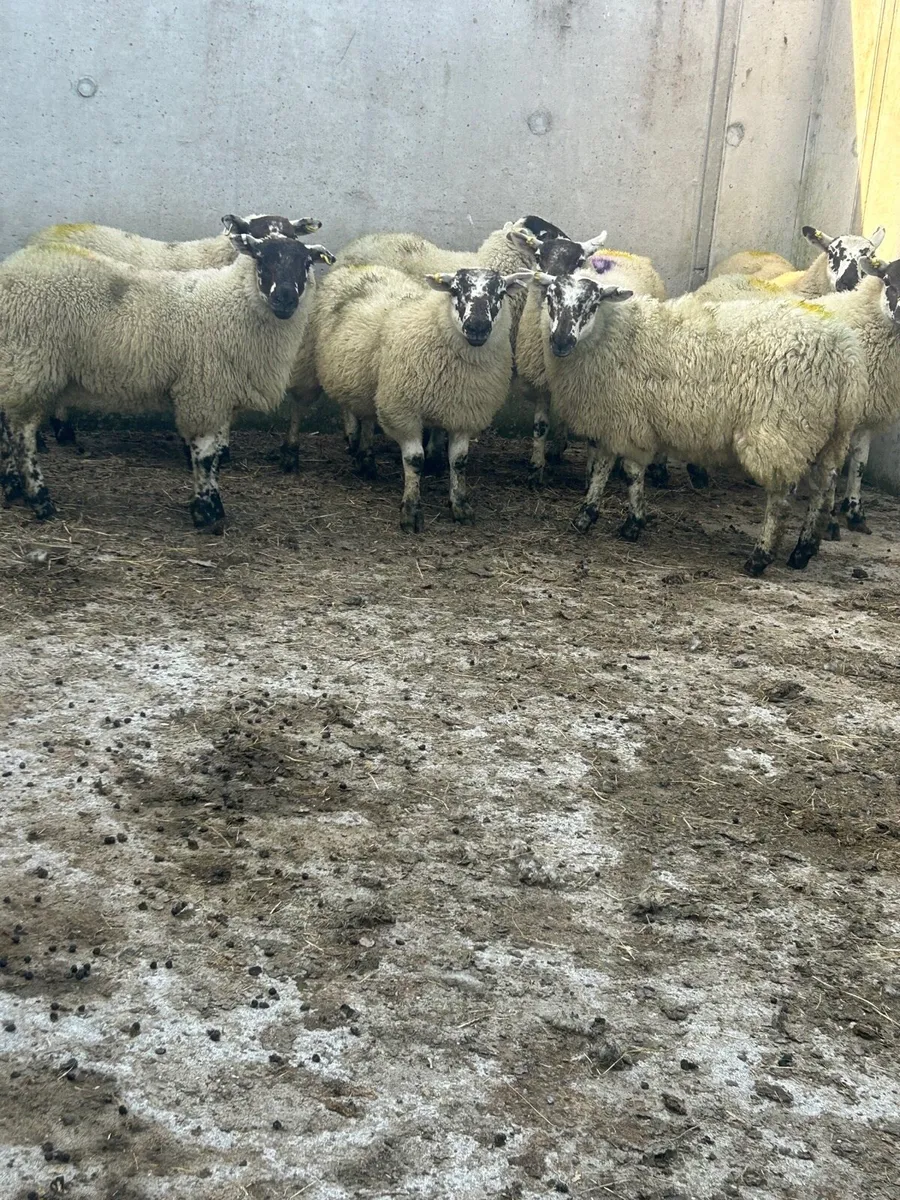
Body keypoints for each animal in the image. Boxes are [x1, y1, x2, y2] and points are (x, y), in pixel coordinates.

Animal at [0, 217, 334, 530]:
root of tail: (12, 267)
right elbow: (205, 455)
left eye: (306, 262)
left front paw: (211, 506)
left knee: (7, 426)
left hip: (16, 365)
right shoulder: (203, 391)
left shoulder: (219, 396)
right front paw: (207, 512)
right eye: (261, 259)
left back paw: (12, 486)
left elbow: (215, 454)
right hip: (29, 363)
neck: (229, 304)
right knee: (22, 433)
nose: (286, 298)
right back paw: (40, 499)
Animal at [314, 264, 531, 530]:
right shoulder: (402, 411)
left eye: (500, 293)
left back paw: (367, 460)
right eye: (455, 290)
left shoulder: (464, 413)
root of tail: (358, 266)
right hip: (346, 374)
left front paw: (460, 506)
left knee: (368, 418)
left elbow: (459, 461)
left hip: (371, 383)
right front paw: (411, 511)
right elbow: (415, 460)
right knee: (350, 411)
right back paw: (354, 443)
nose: (477, 327)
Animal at [533, 271, 868, 575]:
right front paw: (587, 516)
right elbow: (602, 468)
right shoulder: (613, 420)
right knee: (824, 487)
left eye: (591, 305)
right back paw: (804, 550)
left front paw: (631, 523)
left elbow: (630, 472)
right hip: (830, 434)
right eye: (551, 298)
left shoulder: (629, 421)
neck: (616, 334)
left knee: (781, 498)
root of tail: (845, 354)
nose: (560, 341)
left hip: (780, 430)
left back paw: (760, 558)